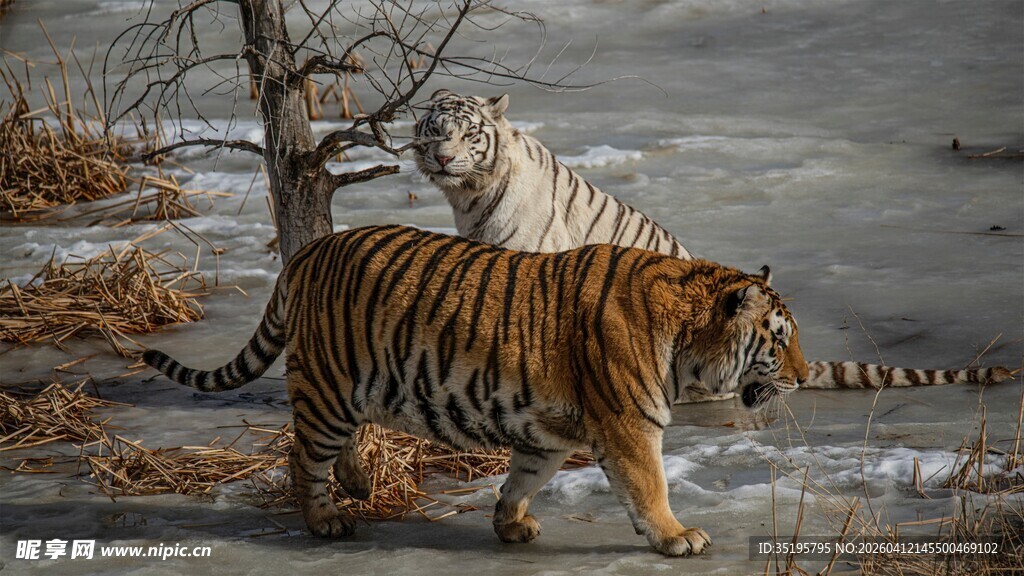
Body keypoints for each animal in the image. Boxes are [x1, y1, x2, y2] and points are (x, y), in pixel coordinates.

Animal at [144, 224, 811, 556]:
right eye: (779, 342)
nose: (805, 378)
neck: (687, 341)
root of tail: (306, 252)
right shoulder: (629, 426)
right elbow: (650, 488)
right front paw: (677, 537)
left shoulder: (549, 433)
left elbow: (523, 479)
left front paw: (509, 524)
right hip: (328, 386)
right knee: (301, 456)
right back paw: (327, 519)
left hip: (349, 388)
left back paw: (357, 484)